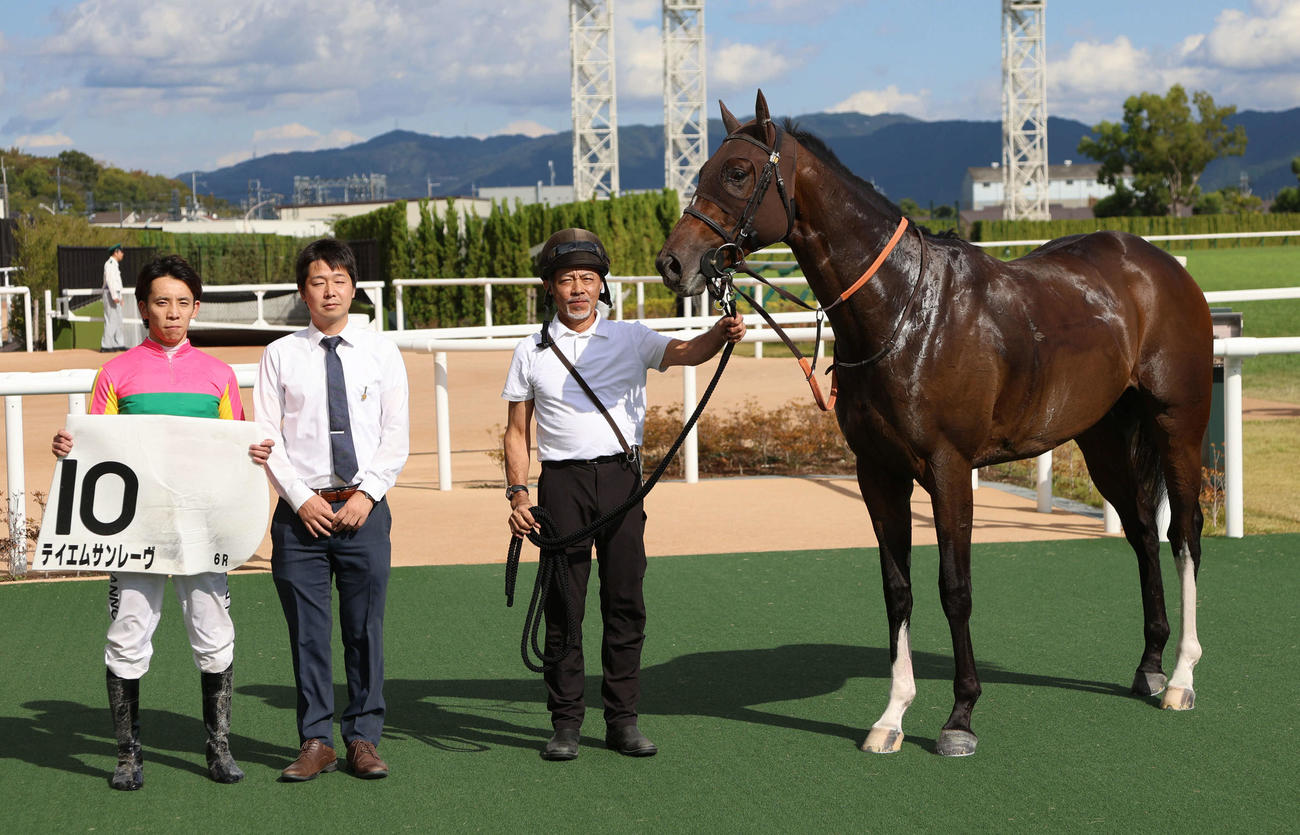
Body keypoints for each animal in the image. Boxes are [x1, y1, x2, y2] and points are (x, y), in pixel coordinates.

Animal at [655, 91, 1212, 757]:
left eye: (737, 172)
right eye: (702, 170)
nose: (672, 263)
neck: (905, 312)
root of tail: (1160, 265)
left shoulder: (949, 468)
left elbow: (955, 588)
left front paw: (960, 717)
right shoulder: (878, 473)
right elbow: (898, 589)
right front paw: (891, 716)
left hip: (1178, 423)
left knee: (1184, 534)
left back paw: (1181, 678)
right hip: (1102, 437)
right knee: (1142, 534)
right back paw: (1149, 666)